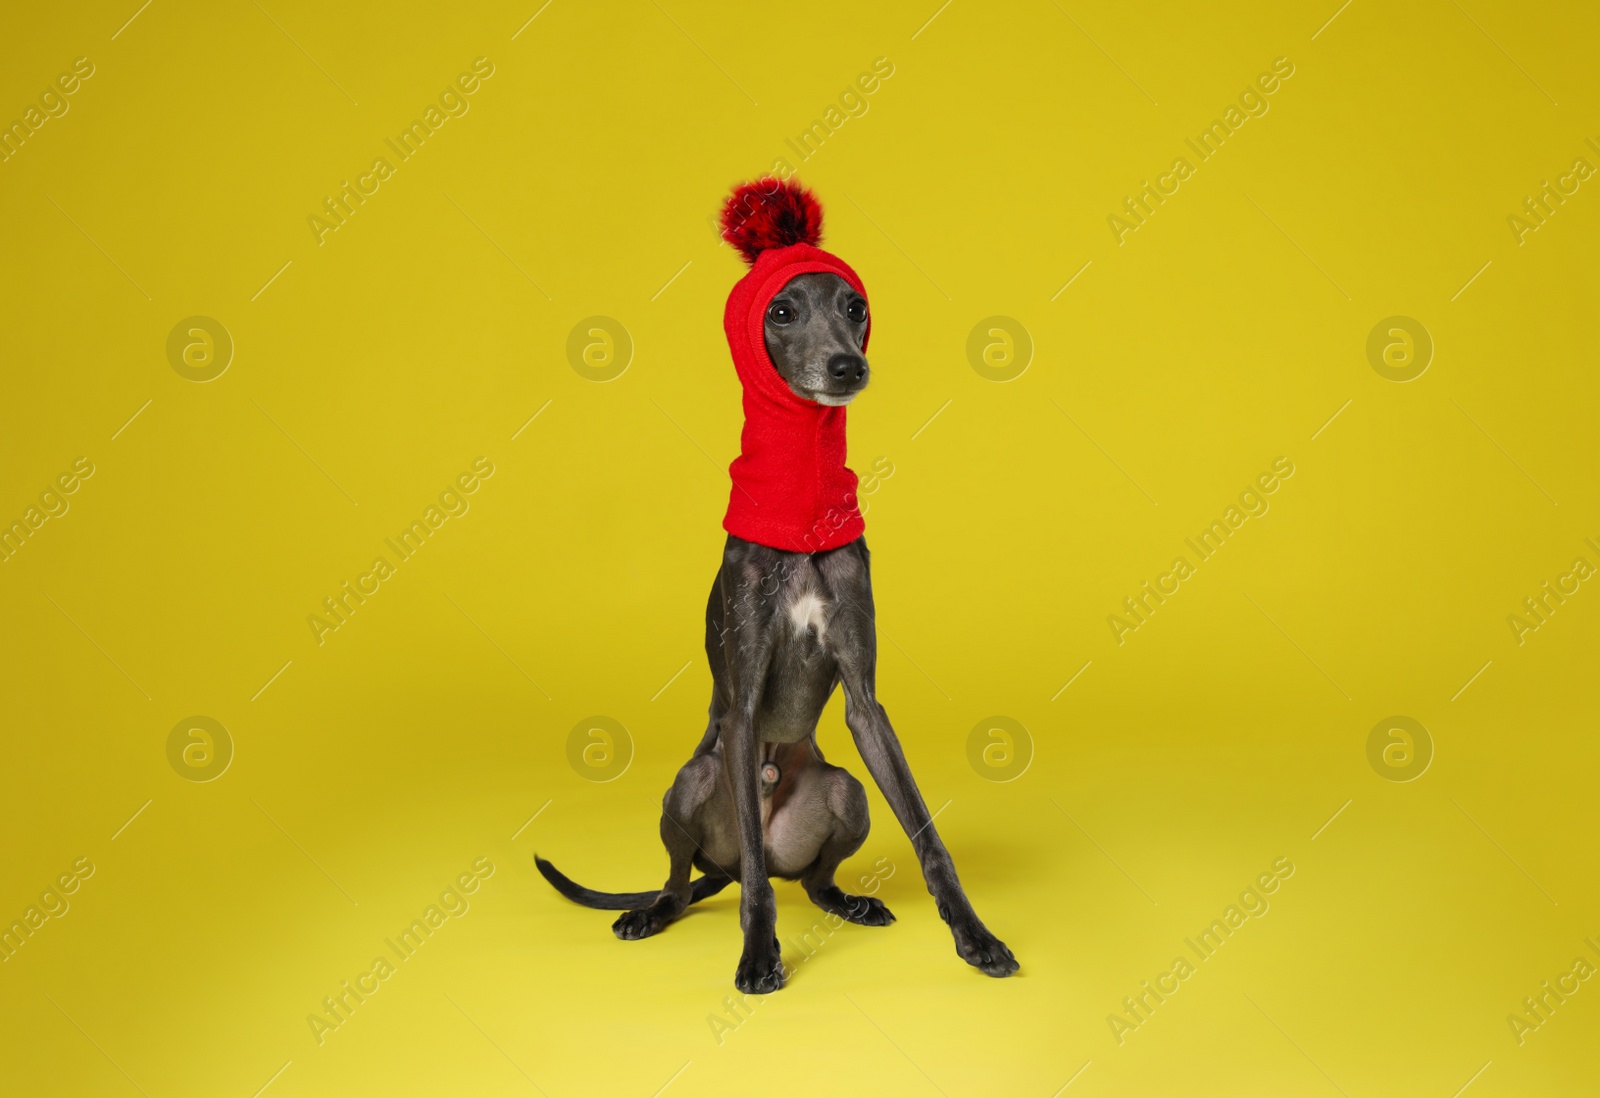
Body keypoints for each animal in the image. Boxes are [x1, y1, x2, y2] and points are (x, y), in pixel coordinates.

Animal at [531, 270, 1017, 992]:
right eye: (782, 312)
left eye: (856, 307)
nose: (847, 366)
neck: (803, 520)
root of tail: (722, 864)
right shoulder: (742, 707)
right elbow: (760, 884)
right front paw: (760, 951)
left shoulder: (867, 703)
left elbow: (928, 835)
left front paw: (974, 935)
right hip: (694, 784)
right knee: (696, 878)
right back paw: (651, 912)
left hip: (846, 791)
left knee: (810, 878)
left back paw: (850, 901)